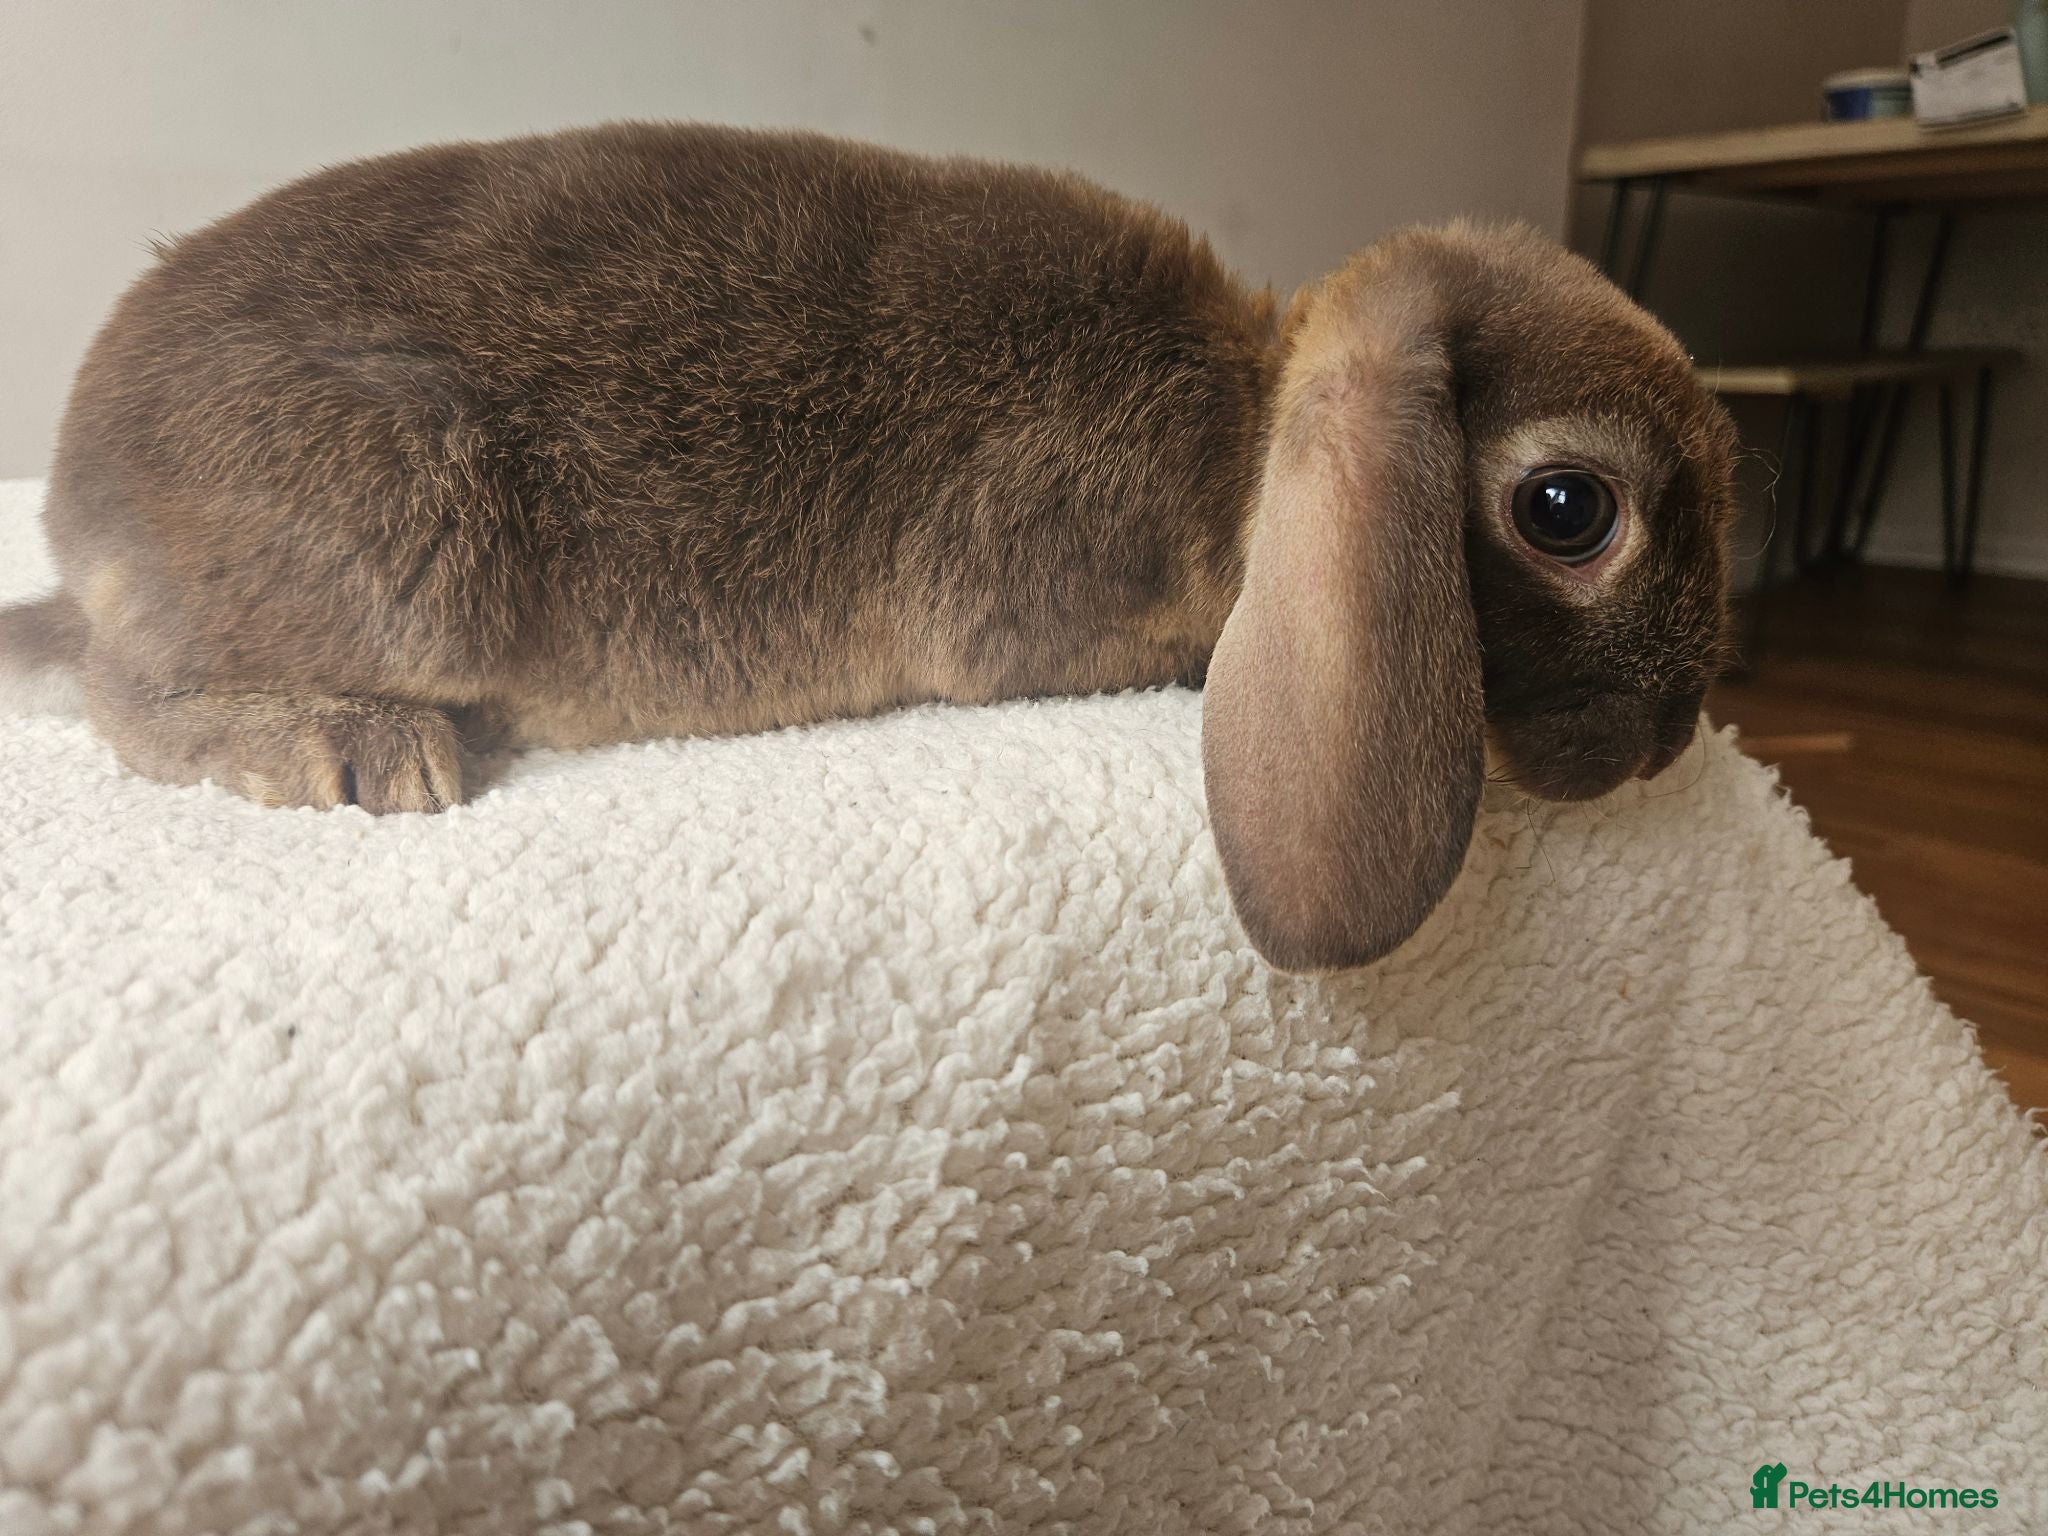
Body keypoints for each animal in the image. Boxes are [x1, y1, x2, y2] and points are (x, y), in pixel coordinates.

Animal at [0, 122, 1738, 972]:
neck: (1248, 428)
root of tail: (82, 513)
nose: (1671, 744)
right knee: (126, 695)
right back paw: (365, 749)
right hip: (409, 534)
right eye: (1569, 512)